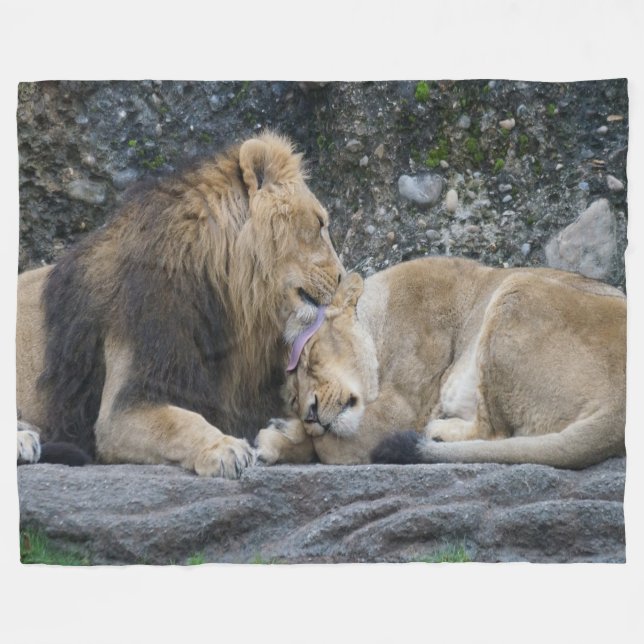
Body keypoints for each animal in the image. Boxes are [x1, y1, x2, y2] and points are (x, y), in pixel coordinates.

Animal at [17, 132, 344, 478]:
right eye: (319, 223)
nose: (341, 277)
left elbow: (310, 436)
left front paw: (276, 436)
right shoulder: (126, 404)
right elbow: (180, 422)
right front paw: (224, 448)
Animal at [256, 256, 626, 469]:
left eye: (311, 358)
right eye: (293, 396)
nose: (310, 413)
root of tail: (619, 410)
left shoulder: (402, 410)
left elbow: (328, 447)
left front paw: (281, 435)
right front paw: (282, 436)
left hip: (515, 288)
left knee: (495, 434)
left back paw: (437, 433)